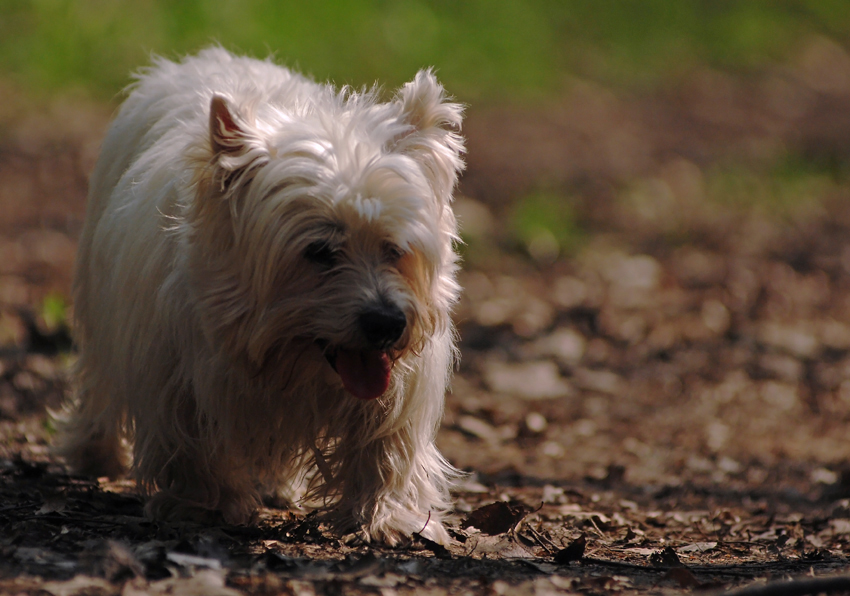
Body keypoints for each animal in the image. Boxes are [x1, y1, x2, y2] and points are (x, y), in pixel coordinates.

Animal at [54, 47, 464, 544]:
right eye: (318, 251)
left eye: (395, 248)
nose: (387, 323)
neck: (283, 360)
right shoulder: (178, 376)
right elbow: (191, 447)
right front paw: (203, 507)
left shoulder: (396, 392)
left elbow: (383, 450)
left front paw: (383, 517)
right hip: (98, 308)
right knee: (99, 383)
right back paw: (94, 452)